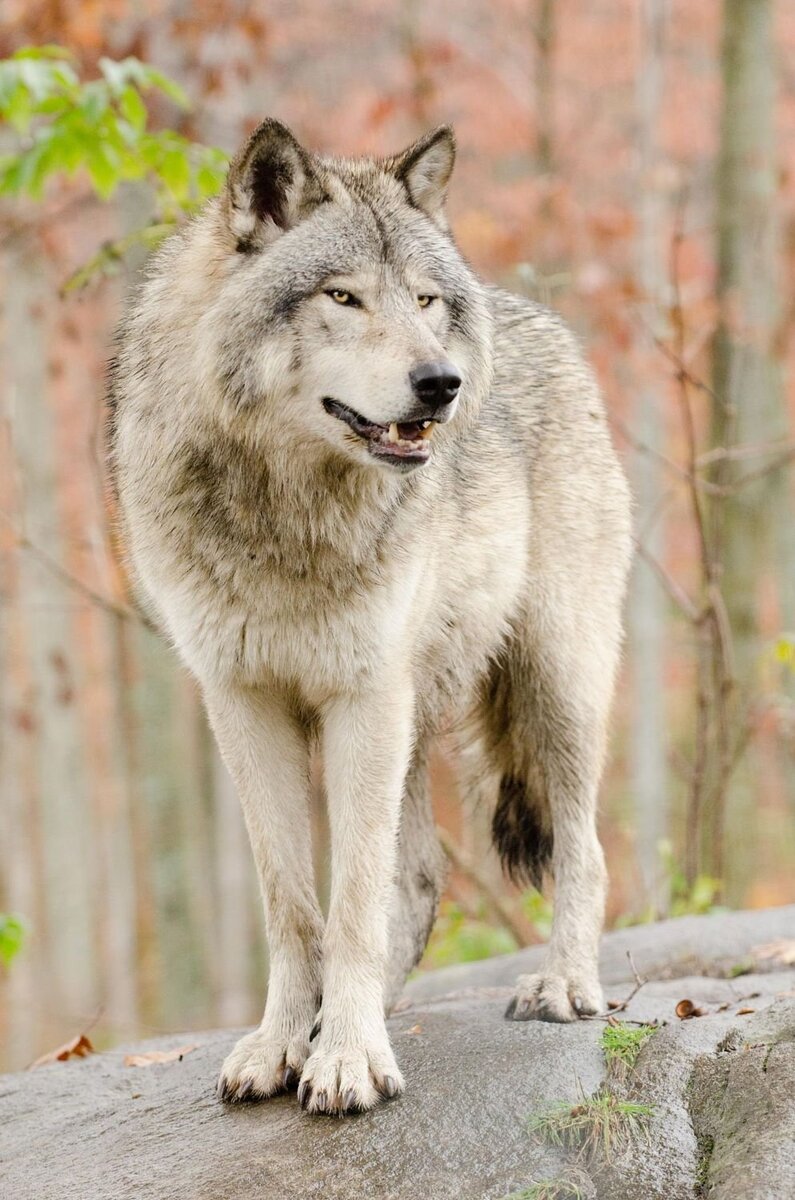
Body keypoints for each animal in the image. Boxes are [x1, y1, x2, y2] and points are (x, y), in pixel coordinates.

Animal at [109, 119, 634, 1113]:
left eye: (423, 300)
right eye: (343, 297)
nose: (442, 383)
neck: (286, 514)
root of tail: (542, 321)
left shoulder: (362, 697)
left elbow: (350, 900)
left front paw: (350, 1058)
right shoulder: (242, 701)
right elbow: (294, 903)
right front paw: (288, 1042)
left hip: (552, 684)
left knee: (579, 850)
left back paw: (562, 985)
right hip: (420, 717)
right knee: (422, 877)